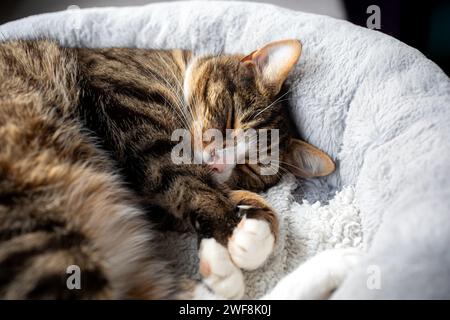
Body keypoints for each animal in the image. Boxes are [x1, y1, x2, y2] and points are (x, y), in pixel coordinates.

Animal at [0, 38, 356, 300]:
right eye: (229, 118)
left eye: (250, 167)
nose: (216, 160)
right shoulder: (134, 121)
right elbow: (189, 184)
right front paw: (233, 236)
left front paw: (248, 233)